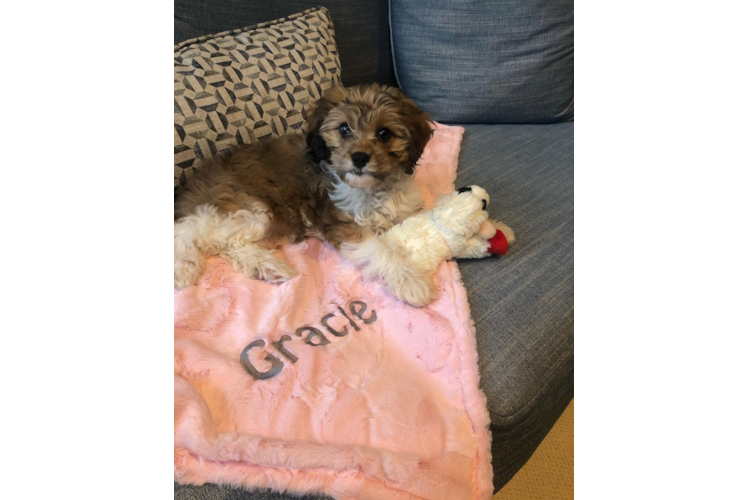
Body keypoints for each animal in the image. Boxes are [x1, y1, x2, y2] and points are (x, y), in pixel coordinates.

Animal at [172, 83, 436, 304]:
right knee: (187, 229)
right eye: (344, 129)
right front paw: (411, 280)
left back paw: (267, 266)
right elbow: (380, 249)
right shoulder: (341, 222)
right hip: (246, 207)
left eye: (384, 133)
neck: (372, 189)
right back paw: (185, 266)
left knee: (229, 243)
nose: (359, 158)